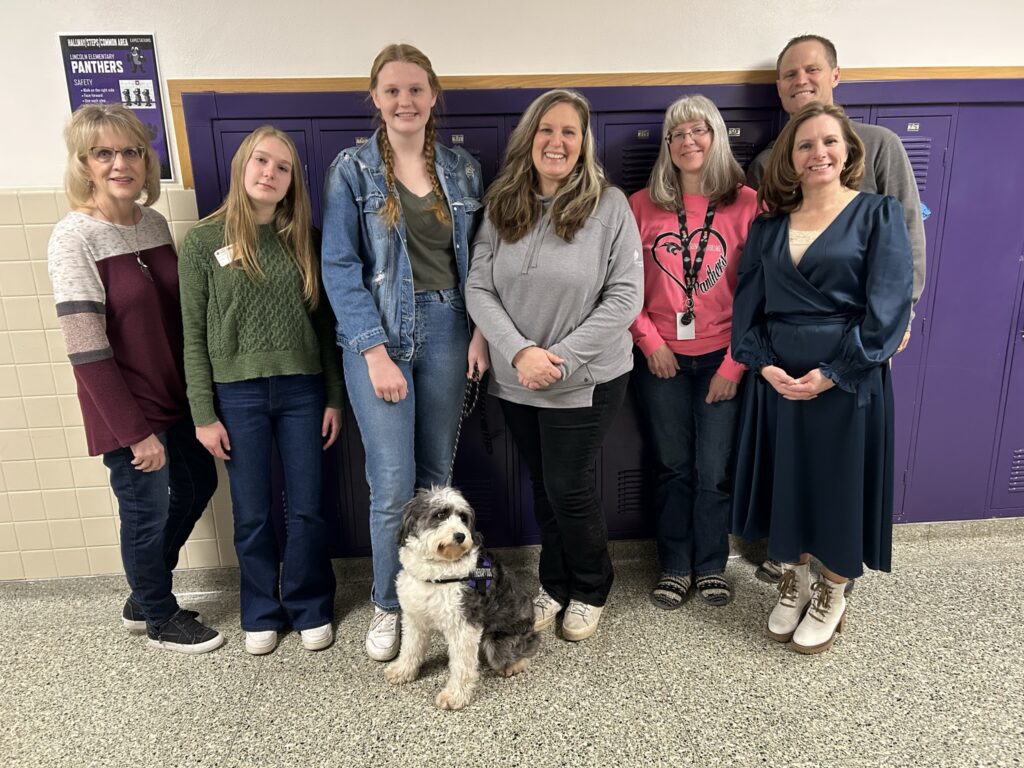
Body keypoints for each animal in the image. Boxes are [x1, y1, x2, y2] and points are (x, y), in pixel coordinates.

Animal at [385, 489, 540, 712]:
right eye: (440, 514)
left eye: (463, 518)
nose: (460, 536)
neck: (437, 572)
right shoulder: (414, 618)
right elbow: (410, 647)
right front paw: (403, 671)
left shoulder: (464, 625)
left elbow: (462, 665)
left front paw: (454, 696)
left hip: (498, 641)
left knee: (524, 650)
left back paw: (513, 665)